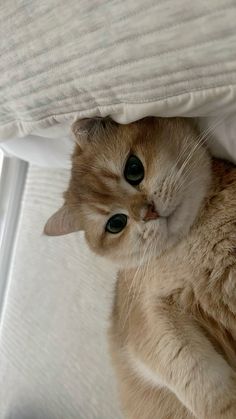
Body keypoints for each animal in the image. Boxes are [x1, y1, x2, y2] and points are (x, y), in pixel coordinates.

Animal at [44, 117, 236, 419]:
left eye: (134, 169)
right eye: (116, 224)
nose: (149, 213)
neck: (196, 236)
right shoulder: (148, 320)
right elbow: (202, 380)